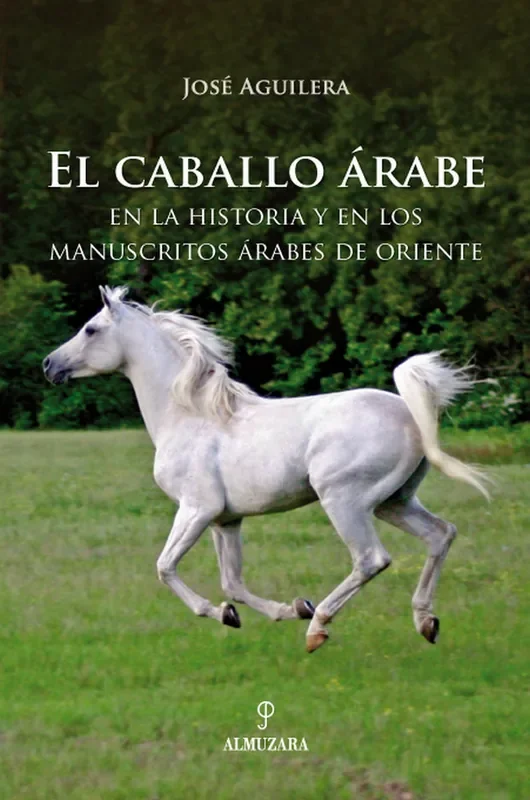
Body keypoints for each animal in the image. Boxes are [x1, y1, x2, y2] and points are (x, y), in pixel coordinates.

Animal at [43, 286, 488, 652]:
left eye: (90, 330)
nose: (49, 365)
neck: (189, 414)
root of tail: (410, 415)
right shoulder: (225, 520)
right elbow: (234, 583)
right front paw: (282, 608)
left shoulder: (196, 509)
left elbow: (165, 567)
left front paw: (226, 613)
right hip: (393, 501)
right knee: (440, 535)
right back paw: (425, 622)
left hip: (344, 500)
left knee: (371, 559)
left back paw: (318, 629)